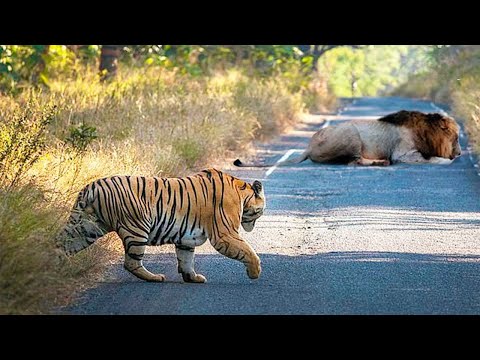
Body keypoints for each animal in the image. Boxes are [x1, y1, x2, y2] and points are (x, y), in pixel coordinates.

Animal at [57, 169, 266, 284]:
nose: (254, 224)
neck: (241, 192)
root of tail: (91, 187)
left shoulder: (186, 238)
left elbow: (186, 259)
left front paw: (192, 278)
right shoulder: (225, 234)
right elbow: (248, 251)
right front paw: (255, 272)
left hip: (87, 227)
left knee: (62, 243)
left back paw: (54, 263)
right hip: (137, 228)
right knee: (131, 262)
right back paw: (155, 277)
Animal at [234, 109, 464, 167]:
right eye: (456, 137)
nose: (461, 153)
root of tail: (308, 146)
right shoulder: (403, 154)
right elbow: (435, 159)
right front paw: (447, 160)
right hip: (351, 133)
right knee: (354, 162)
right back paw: (382, 163)